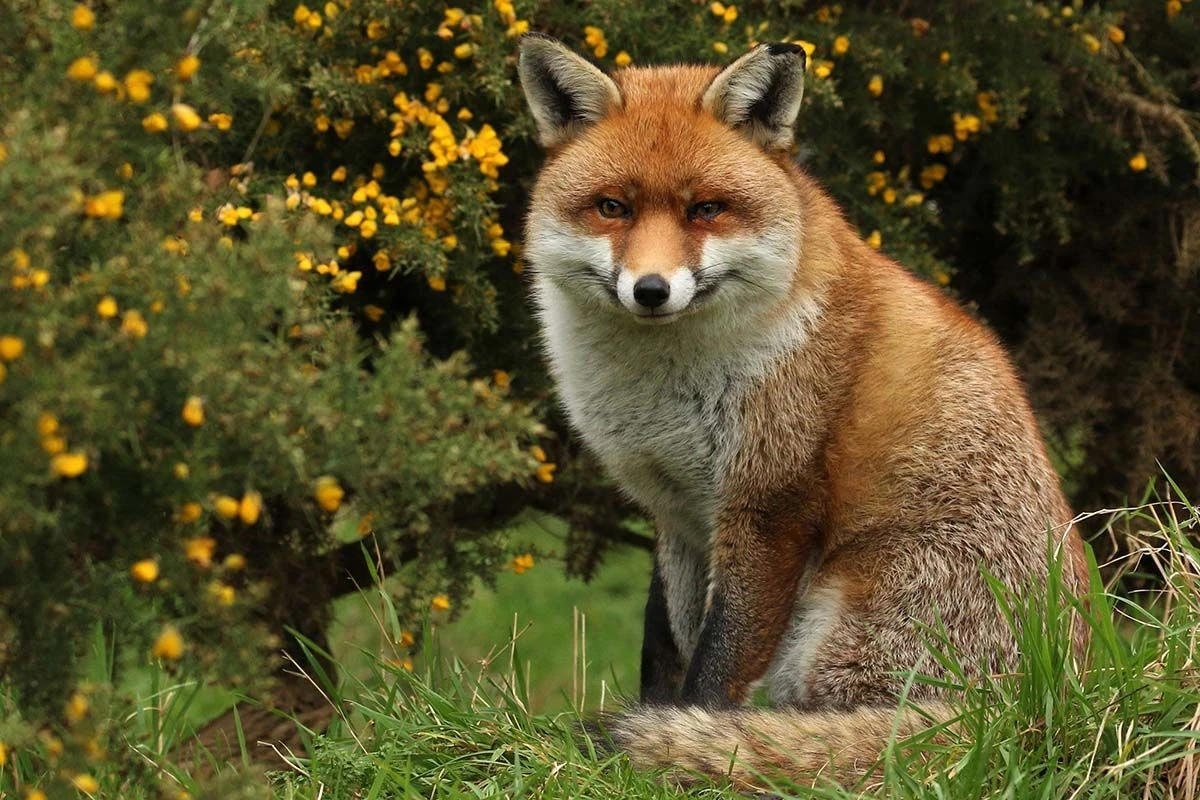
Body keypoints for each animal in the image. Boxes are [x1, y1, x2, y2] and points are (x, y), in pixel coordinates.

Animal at [517, 34, 1090, 788]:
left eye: (707, 210)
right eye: (612, 207)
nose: (651, 290)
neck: (659, 390)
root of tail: (1042, 706)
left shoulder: (770, 507)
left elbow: (715, 669)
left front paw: (683, 741)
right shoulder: (677, 513)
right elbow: (663, 648)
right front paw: (650, 735)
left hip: (831, 634)